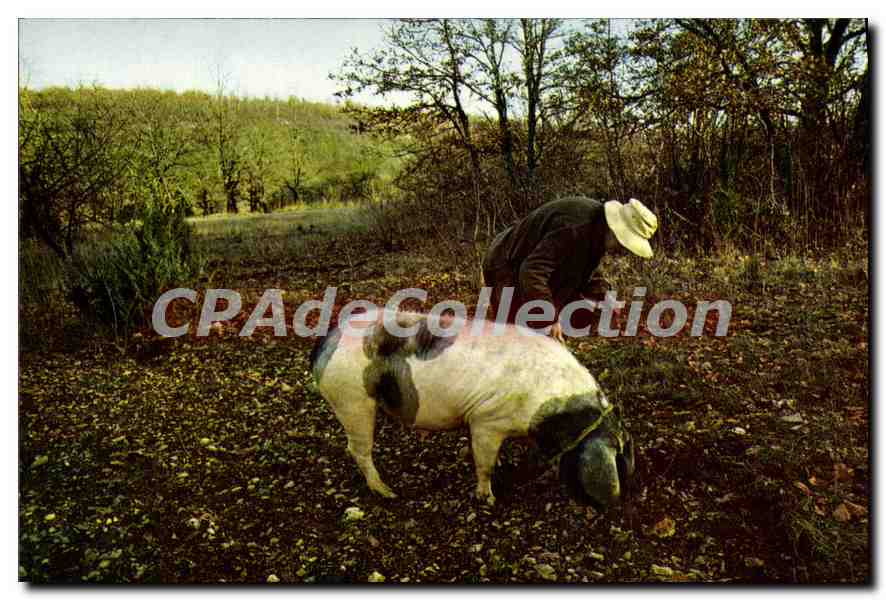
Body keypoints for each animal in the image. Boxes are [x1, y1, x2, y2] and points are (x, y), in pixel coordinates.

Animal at [310, 308, 635, 509]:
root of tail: (326, 344)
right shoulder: (486, 421)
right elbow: (484, 463)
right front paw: (489, 499)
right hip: (352, 400)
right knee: (357, 449)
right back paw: (388, 492)